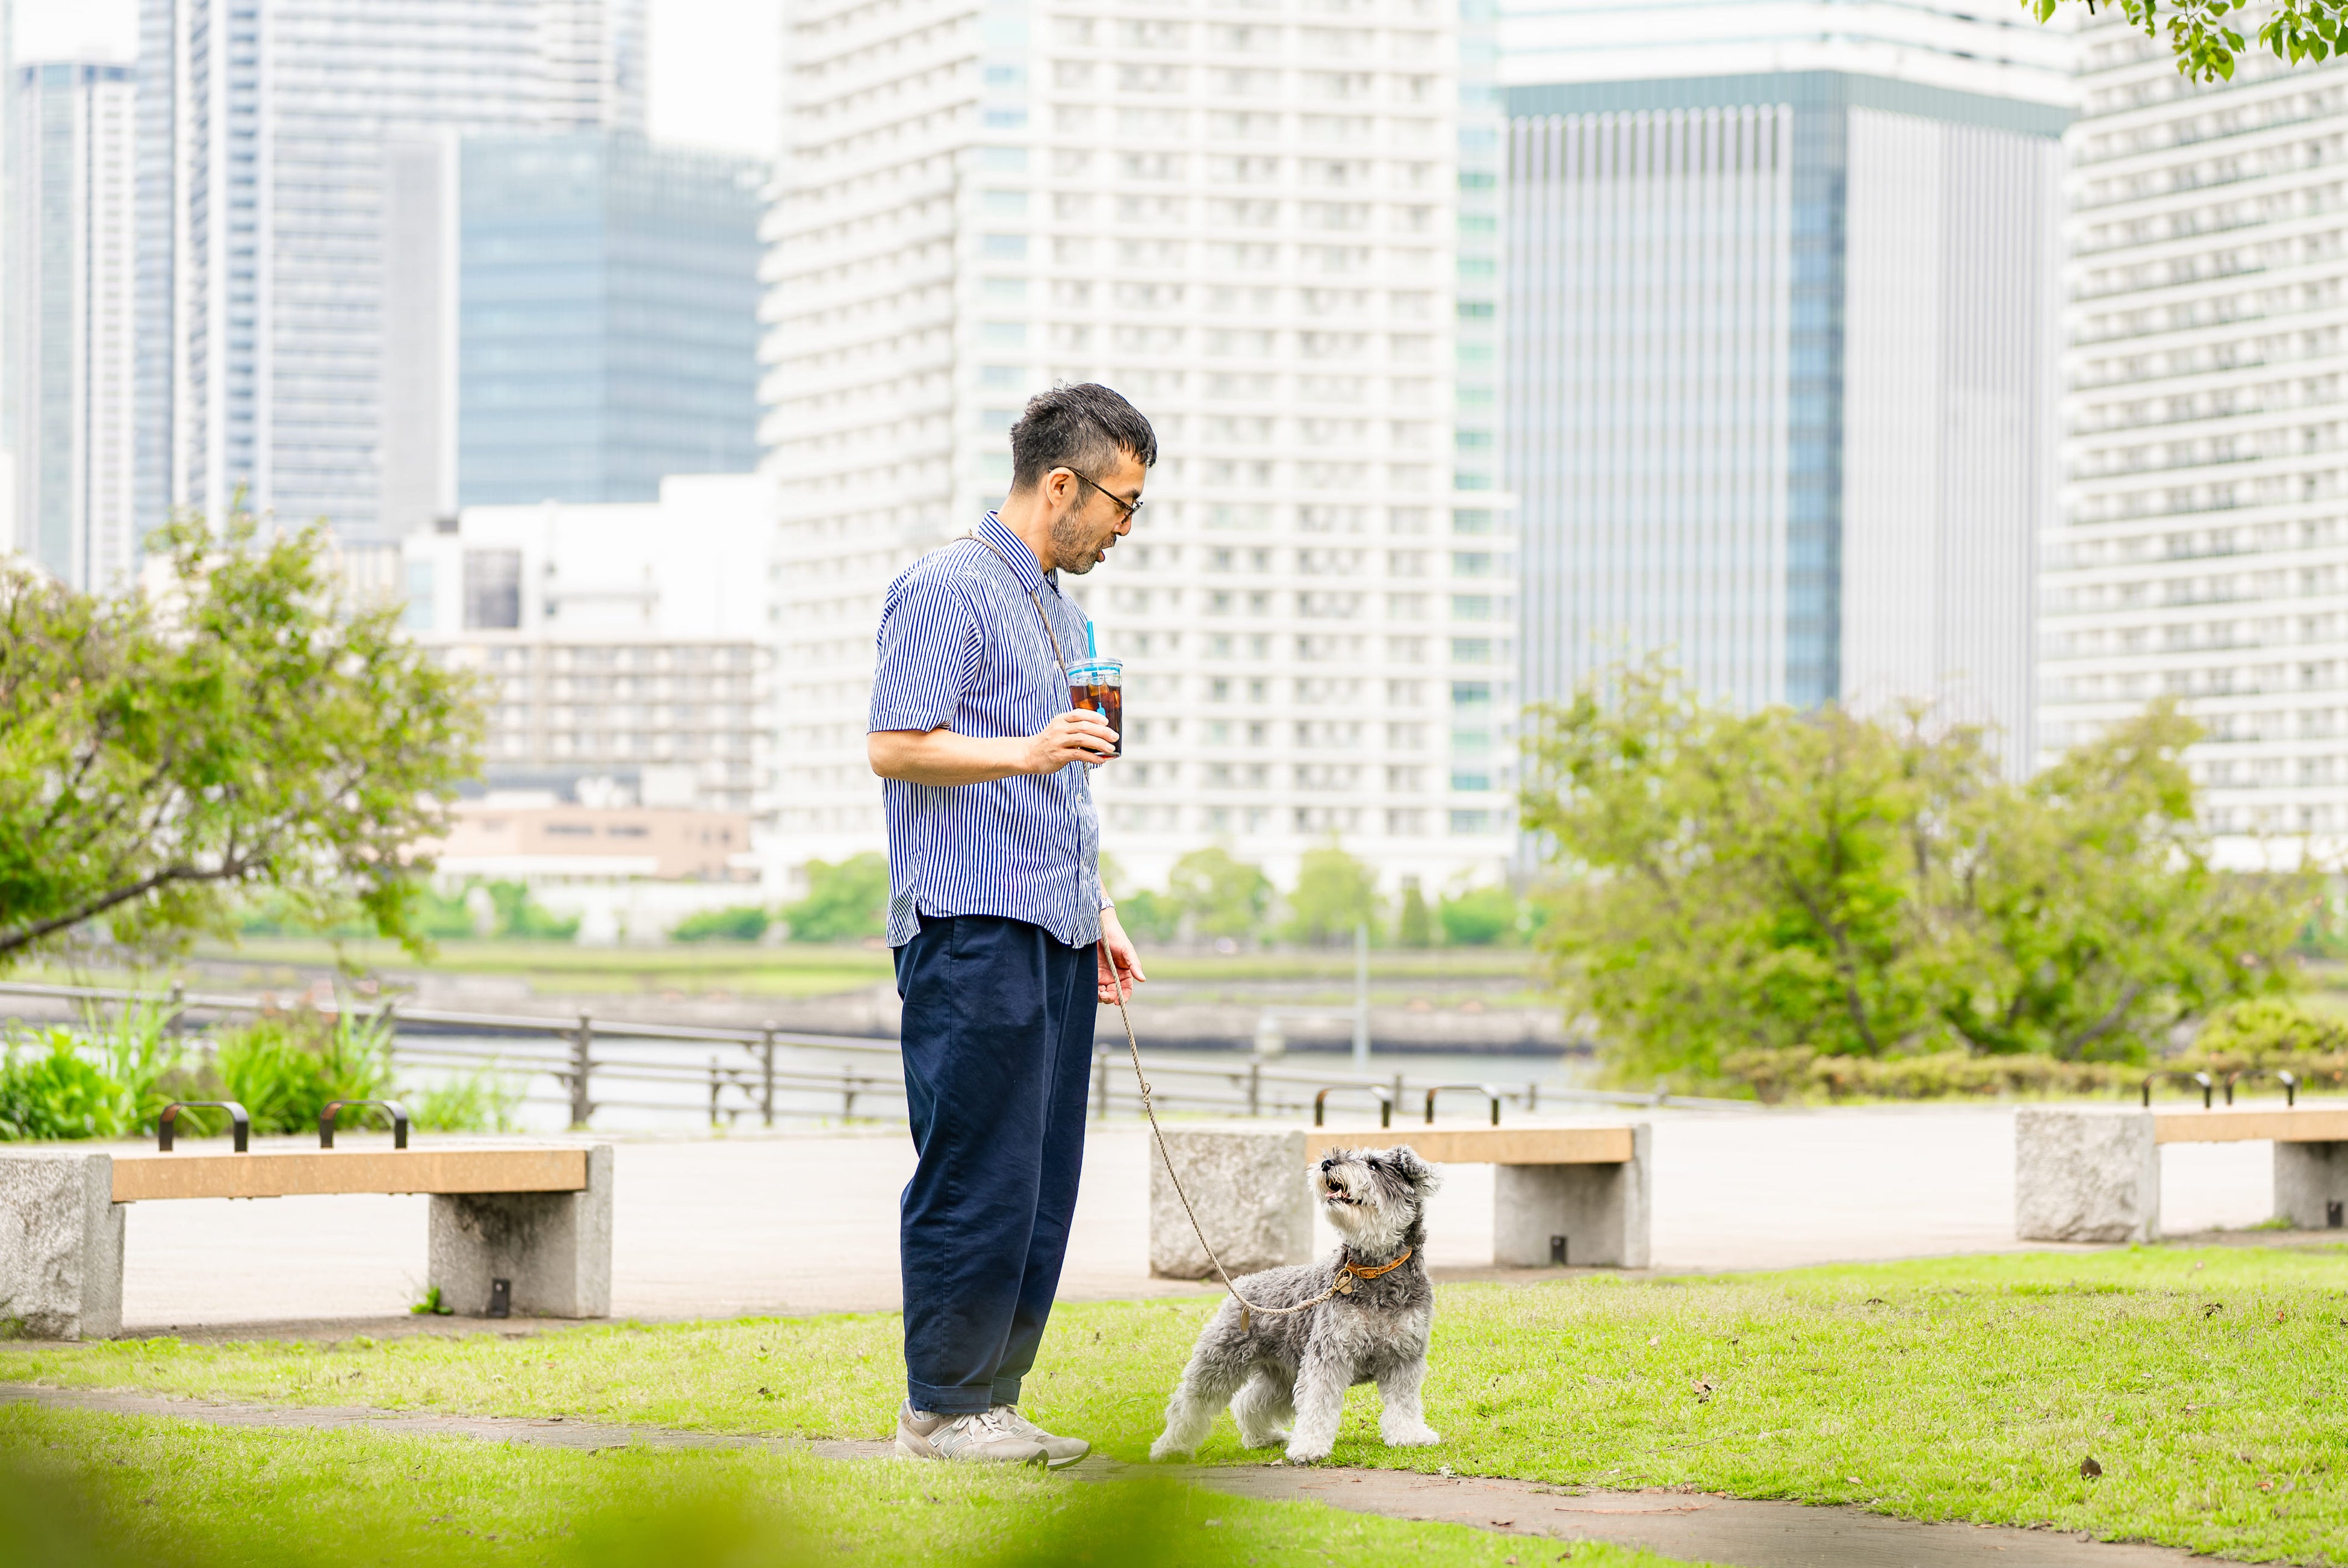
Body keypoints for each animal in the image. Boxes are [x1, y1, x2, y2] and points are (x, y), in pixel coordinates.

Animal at [1146, 1141, 1436, 1474]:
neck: (1374, 1271)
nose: (1327, 1163)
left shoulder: (1404, 1355)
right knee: (1189, 1404)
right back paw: (1171, 1448)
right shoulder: (1329, 1355)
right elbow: (1318, 1404)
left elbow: (1404, 1401)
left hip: (1282, 1376)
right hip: (1219, 1362)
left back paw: (1263, 1438)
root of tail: (1243, 1284)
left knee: (1249, 1402)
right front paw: (1309, 1448)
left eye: (1374, 1165)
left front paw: (1410, 1436)